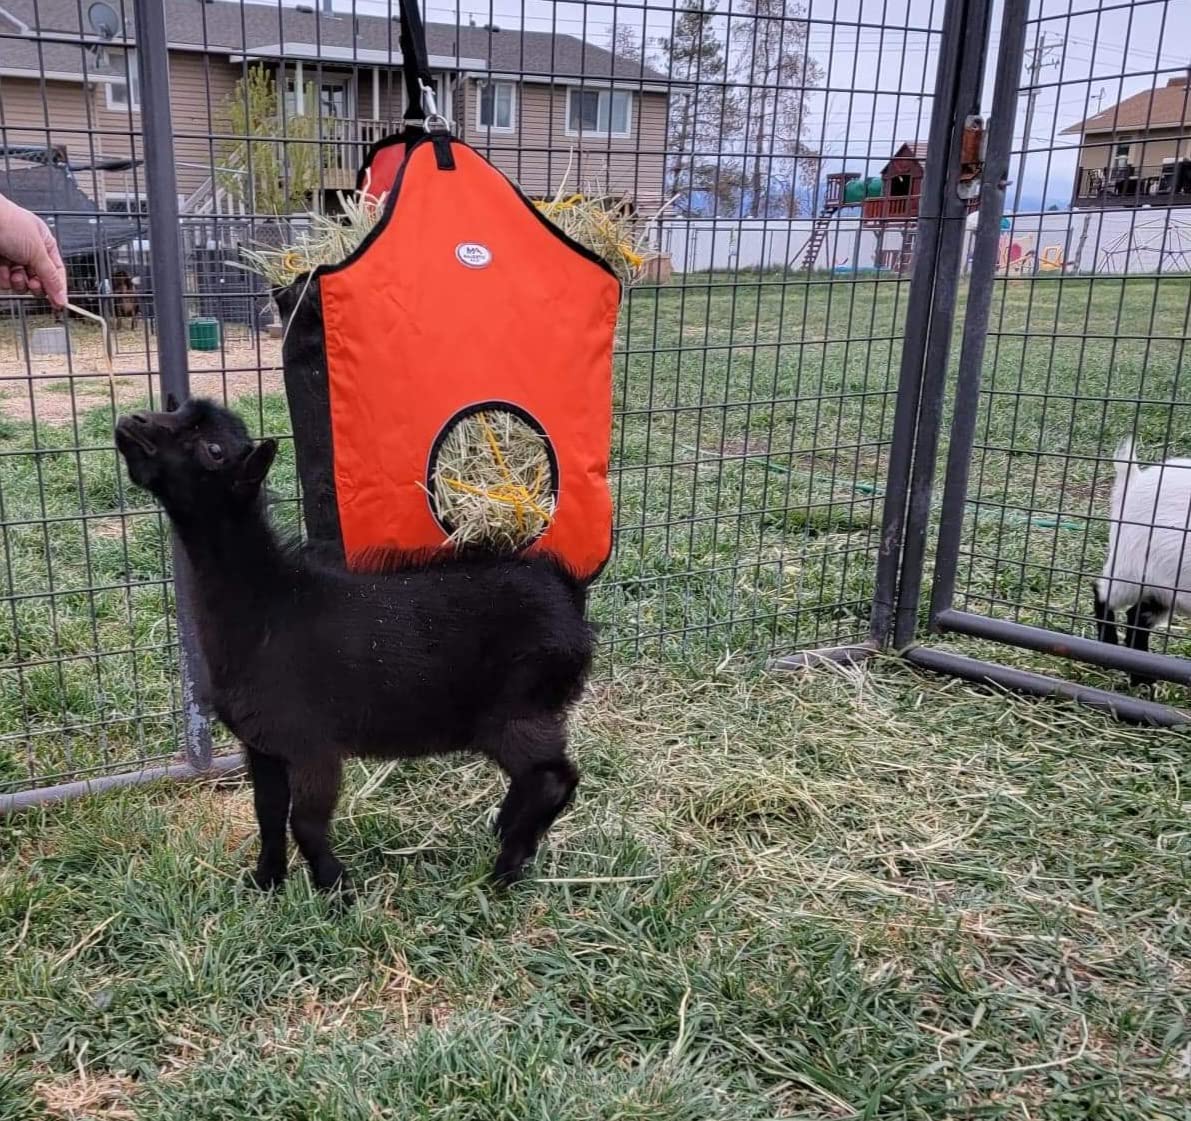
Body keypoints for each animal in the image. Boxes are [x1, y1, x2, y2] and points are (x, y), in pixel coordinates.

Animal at [114, 397, 593, 896]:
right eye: (176, 410)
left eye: (213, 449)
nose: (133, 422)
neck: (267, 605)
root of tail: (568, 592)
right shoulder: (263, 745)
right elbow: (268, 816)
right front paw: (267, 883)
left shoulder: (313, 744)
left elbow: (305, 823)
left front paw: (336, 889)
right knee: (537, 778)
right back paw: (504, 832)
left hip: (520, 708)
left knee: (552, 779)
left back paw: (505, 870)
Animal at [1093, 438, 1191, 683]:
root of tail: (1135, 481)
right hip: (1129, 568)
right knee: (1103, 594)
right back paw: (1108, 649)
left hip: (1165, 587)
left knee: (1138, 616)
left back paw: (1141, 676)